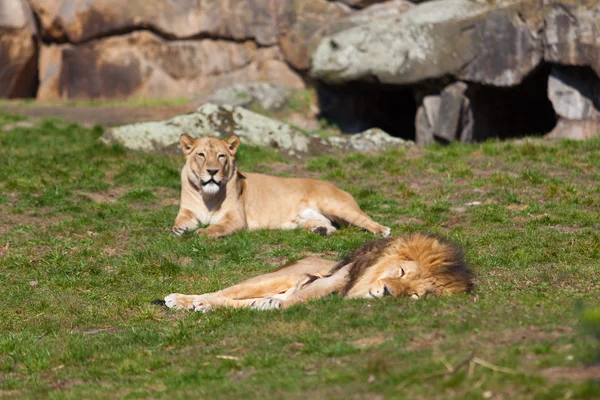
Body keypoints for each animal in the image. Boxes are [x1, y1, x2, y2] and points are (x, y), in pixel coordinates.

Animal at [171, 134, 392, 239]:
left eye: (221, 156)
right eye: (201, 155)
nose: (212, 171)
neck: (207, 196)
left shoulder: (236, 219)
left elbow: (217, 227)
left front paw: (201, 232)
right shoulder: (187, 212)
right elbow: (178, 224)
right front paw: (178, 231)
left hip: (335, 205)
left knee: (365, 219)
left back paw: (382, 230)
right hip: (308, 218)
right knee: (330, 226)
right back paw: (320, 230)